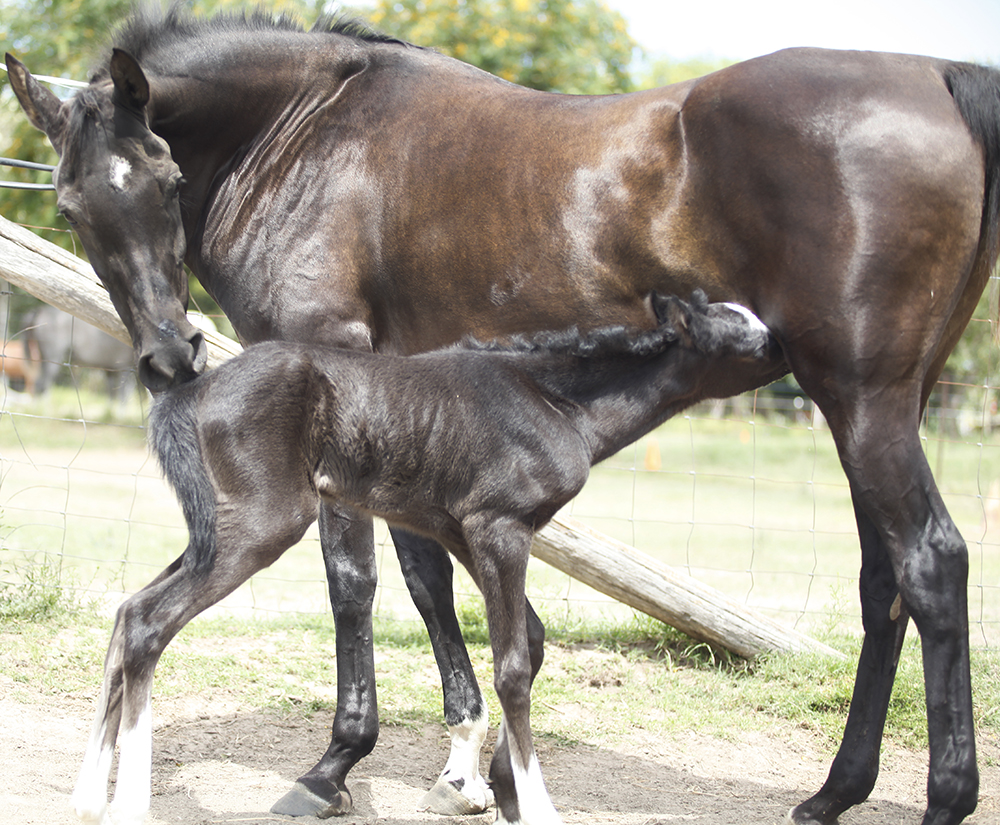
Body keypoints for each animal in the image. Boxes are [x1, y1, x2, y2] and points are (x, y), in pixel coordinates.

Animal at [74, 288, 784, 824]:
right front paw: (536, 807)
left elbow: (527, 637)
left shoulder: (460, 531)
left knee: (129, 612)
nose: (792, 348)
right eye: (747, 336)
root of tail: (191, 392)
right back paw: (124, 807)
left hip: (218, 530)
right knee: (149, 622)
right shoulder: (501, 528)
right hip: (261, 524)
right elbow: (512, 668)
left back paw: (86, 800)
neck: (556, 399)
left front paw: (495, 792)